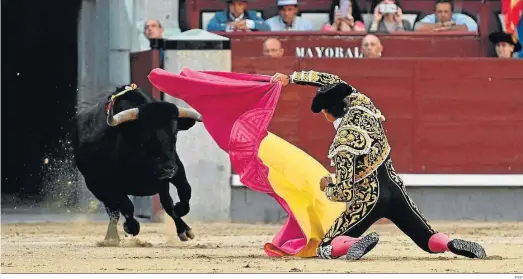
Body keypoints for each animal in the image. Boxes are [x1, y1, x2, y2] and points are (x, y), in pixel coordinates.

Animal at [71, 85, 201, 243]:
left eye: (175, 134)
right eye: (147, 136)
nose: (168, 169)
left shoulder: (177, 171)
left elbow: (185, 192)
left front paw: (182, 218)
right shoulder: (109, 185)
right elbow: (127, 206)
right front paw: (131, 227)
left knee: (166, 202)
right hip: (96, 187)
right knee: (113, 211)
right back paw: (112, 237)